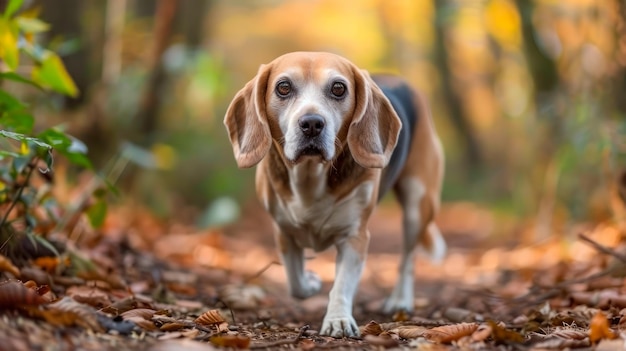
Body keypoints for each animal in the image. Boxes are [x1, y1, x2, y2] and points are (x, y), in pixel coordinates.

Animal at [224, 53, 444, 338]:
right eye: (283, 87)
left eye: (338, 88)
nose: (312, 124)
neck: (310, 176)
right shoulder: (283, 232)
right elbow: (296, 282)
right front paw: (311, 282)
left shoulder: (355, 236)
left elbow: (342, 285)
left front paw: (338, 319)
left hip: (418, 204)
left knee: (408, 259)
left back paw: (400, 300)